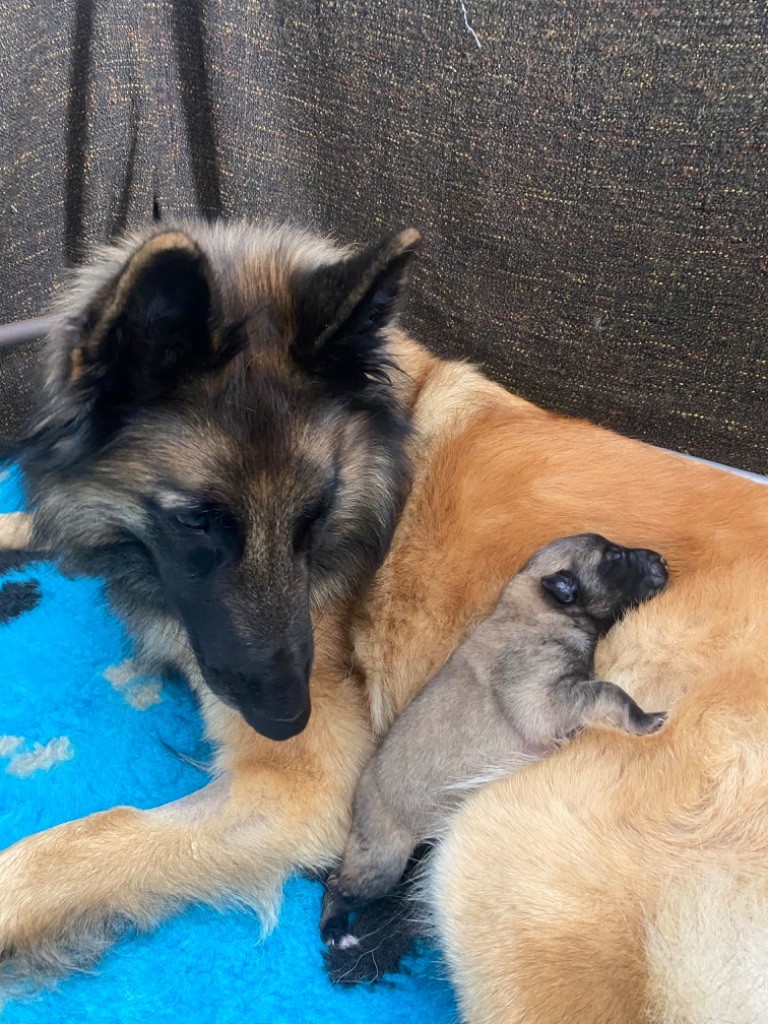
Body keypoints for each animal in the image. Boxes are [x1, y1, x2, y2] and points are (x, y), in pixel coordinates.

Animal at [321, 532, 671, 946]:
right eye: (614, 558)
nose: (662, 559)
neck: (541, 606)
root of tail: (357, 804)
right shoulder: (546, 700)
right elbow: (610, 691)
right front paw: (645, 719)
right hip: (380, 860)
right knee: (336, 886)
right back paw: (335, 931)